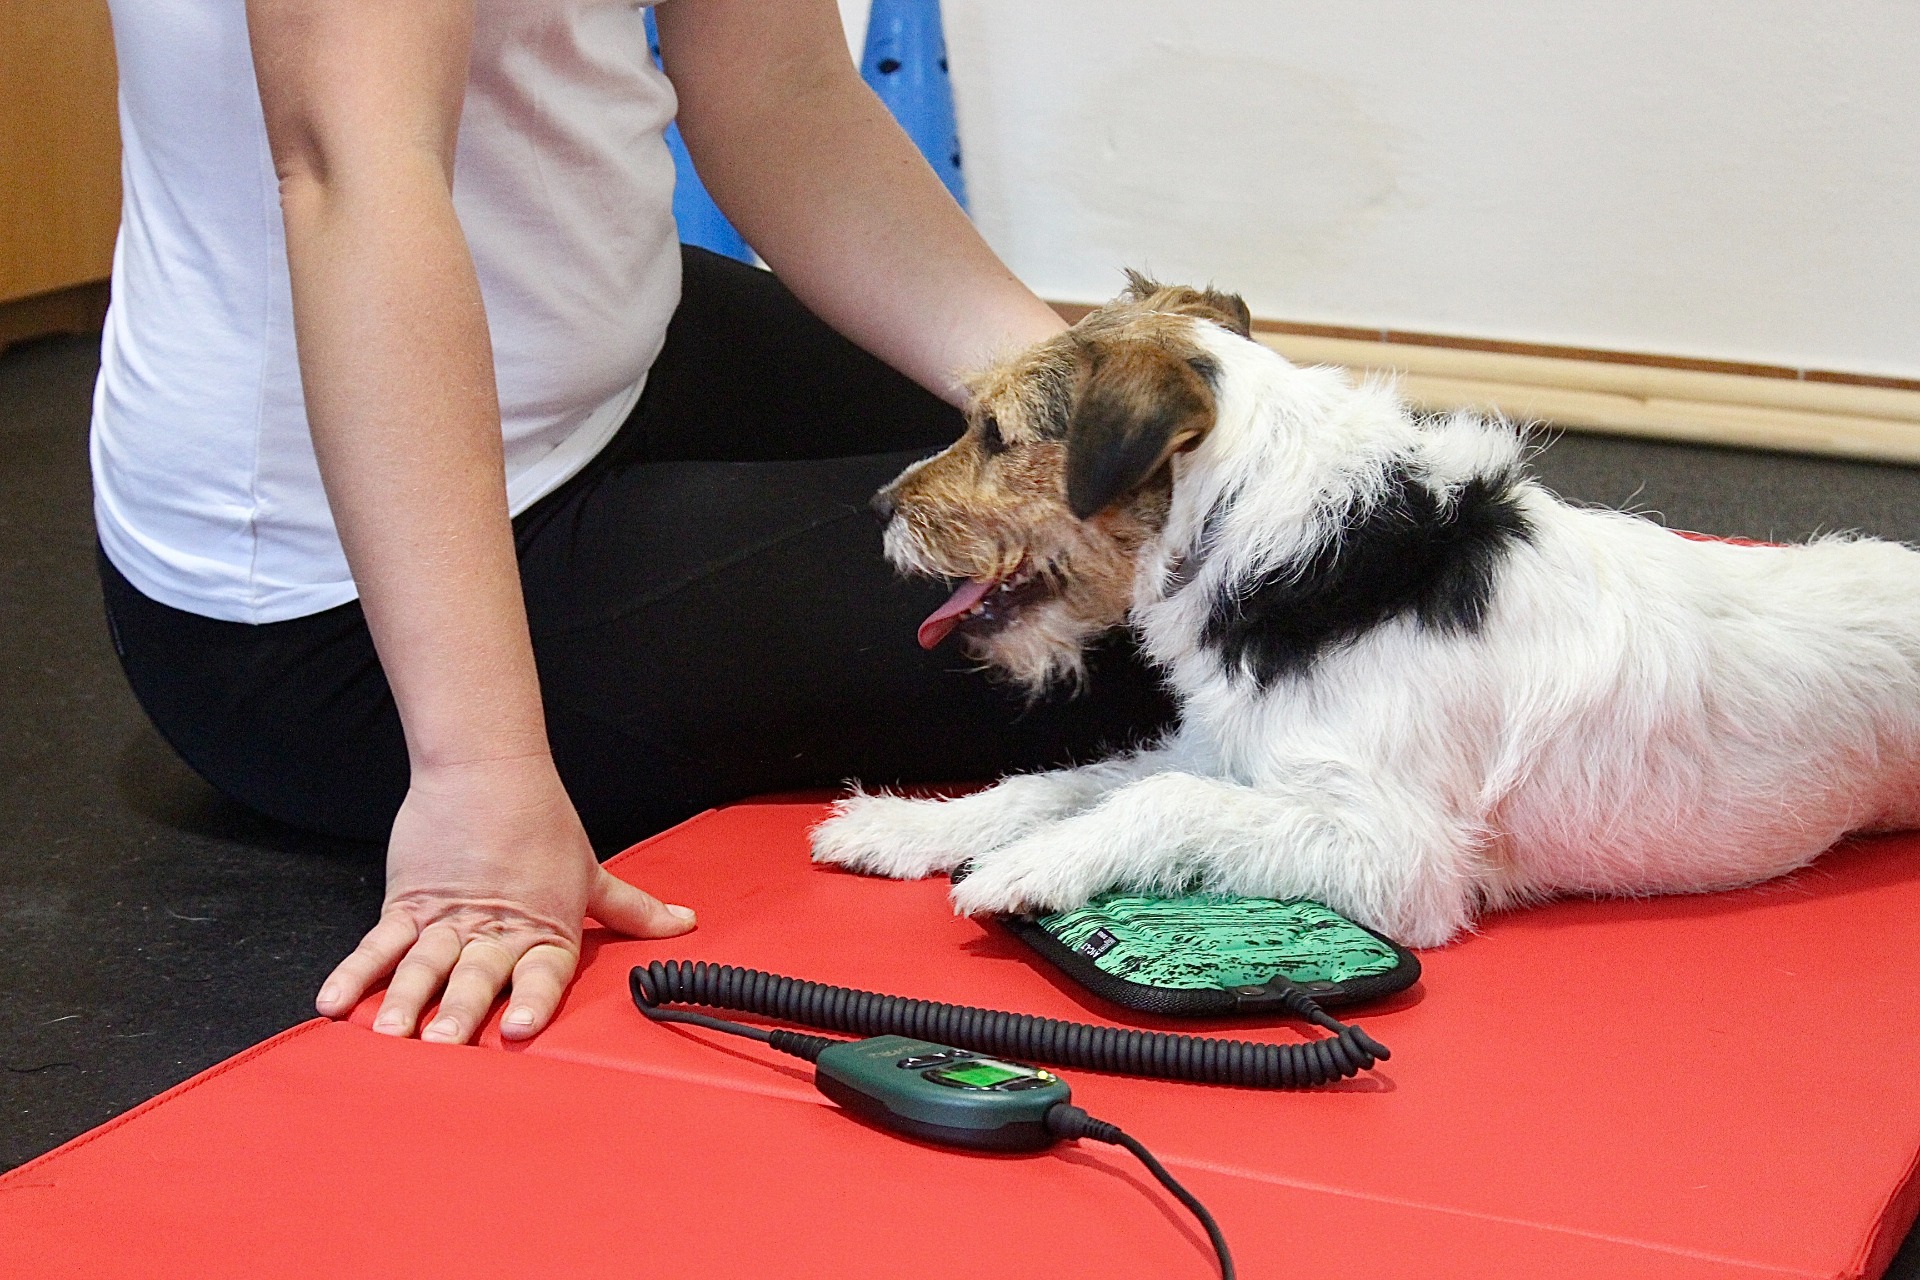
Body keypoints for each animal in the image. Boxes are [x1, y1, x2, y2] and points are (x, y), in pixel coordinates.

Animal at [810, 274, 1920, 946]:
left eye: (995, 433)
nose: (878, 507)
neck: (1283, 540)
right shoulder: (1231, 750)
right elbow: (1066, 782)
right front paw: (909, 826)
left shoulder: (1397, 853)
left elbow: (1159, 802)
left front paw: (1027, 867)